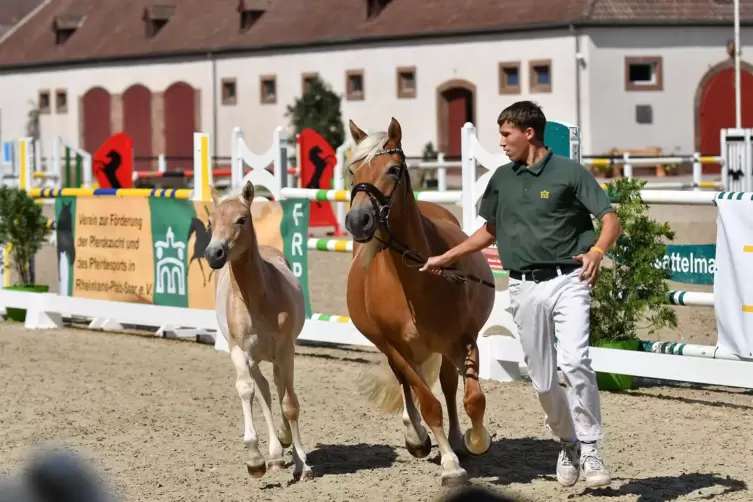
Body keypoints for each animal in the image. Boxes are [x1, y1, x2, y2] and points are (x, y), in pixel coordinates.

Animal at [203, 182, 312, 480]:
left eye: (241, 219)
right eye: (210, 221)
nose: (214, 254)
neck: (256, 300)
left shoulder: (285, 350)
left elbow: (290, 403)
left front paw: (303, 465)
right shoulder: (239, 351)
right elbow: (247, 391)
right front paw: (255, 459)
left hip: (277, 356)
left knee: (280, 388)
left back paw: (288, 446)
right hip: (256, 358)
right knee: (264, 392)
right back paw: (275, 454)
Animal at [344, 117, 496, 486]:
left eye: (393, 169)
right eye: (353, 170)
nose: (358, 221)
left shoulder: (464, 340)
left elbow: (473, 399)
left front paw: (475, 441)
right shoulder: (397, 348)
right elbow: (428, 405)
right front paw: (450, 464)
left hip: (445, 348)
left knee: (450, 384)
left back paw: (455, 439)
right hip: (395, 352)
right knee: (406, 384)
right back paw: (417, 438)